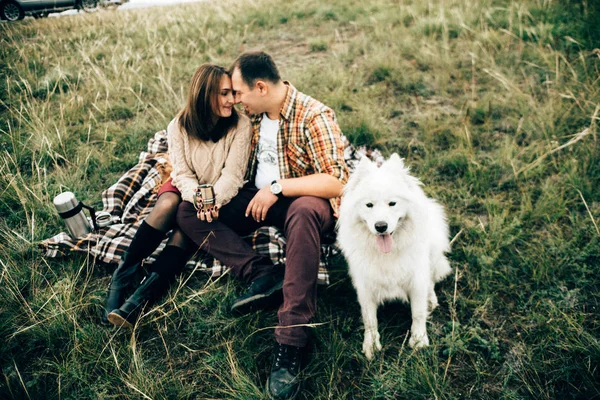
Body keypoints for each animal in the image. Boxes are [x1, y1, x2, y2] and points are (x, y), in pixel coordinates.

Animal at [338, 153, 450, 360]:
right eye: (369, 205)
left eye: (392, 203)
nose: (381, 226)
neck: (387, 254)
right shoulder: (365, 286)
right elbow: (370, 319)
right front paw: (371, 344)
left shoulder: (416, 279)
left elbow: (418, 313)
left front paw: (419, 340)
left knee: (431, 280)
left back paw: (431, 300)